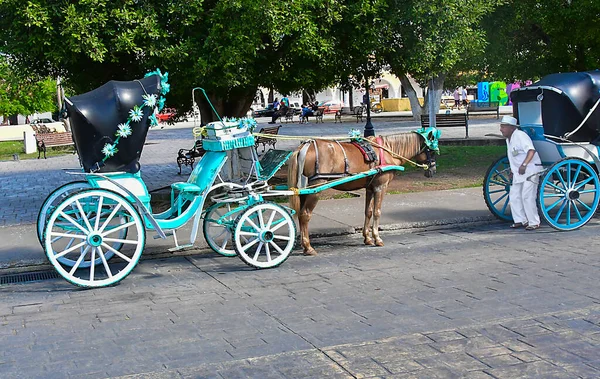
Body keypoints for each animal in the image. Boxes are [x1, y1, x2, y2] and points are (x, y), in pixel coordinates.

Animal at [286, 132, 436, 256]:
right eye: (432, 151)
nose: (433, 169)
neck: (386, 151)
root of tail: (305, 146)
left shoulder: (370, 188)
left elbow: (368, 212)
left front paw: (367, 238)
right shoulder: (380, 187)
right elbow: (377, 212)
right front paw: (377, 238)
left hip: (305, 189)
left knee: (301, 215)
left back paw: (304, 245)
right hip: (316, 188)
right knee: (305, 215)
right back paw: (308, 246)